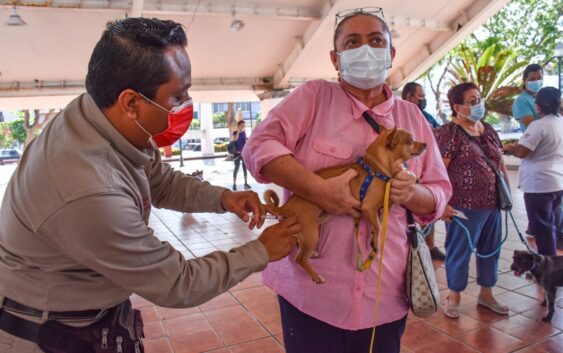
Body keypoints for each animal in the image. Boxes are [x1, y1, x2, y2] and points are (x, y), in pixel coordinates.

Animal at [264, 126, 428, 284]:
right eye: (411, 140)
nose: (426, 144)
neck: (376, 168)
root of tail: (286, 206)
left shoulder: (377, 211)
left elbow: (377, 225)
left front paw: (373, 237)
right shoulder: (368, 207)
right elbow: (379, 227)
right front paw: (376, 242)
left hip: (318, 220)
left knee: (300, 245)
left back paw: (312, 253)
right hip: (311, 231)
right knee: (300, 258)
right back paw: (316, 276)